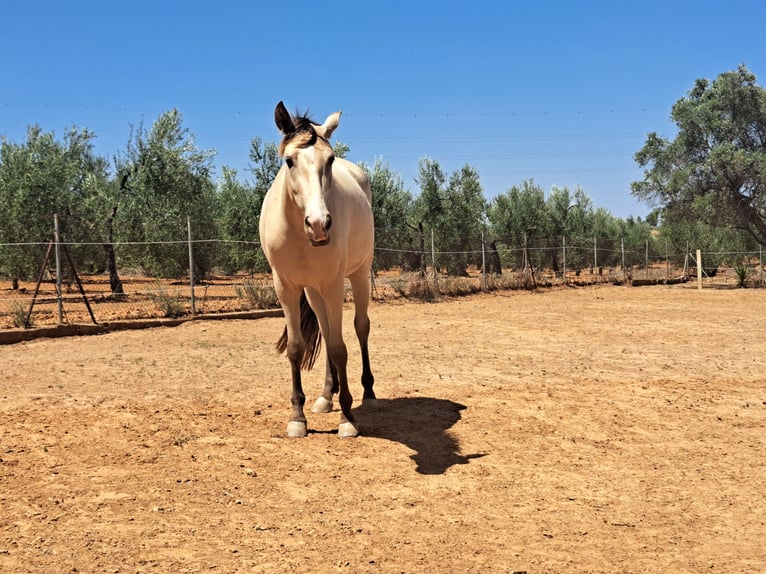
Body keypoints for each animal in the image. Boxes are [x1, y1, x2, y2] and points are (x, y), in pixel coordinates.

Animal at [260, 101, 376, 438]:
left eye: (330, 159)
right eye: (289, 161)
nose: (319, 224)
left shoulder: (334, 284)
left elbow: (339, 347)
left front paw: (348, 418)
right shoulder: (286, 287)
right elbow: (296, 347)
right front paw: (297, 417)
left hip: (358, 275)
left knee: (360, 327)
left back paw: (368, 392)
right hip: (313, 291)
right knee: (325, 330)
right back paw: (326, 395)